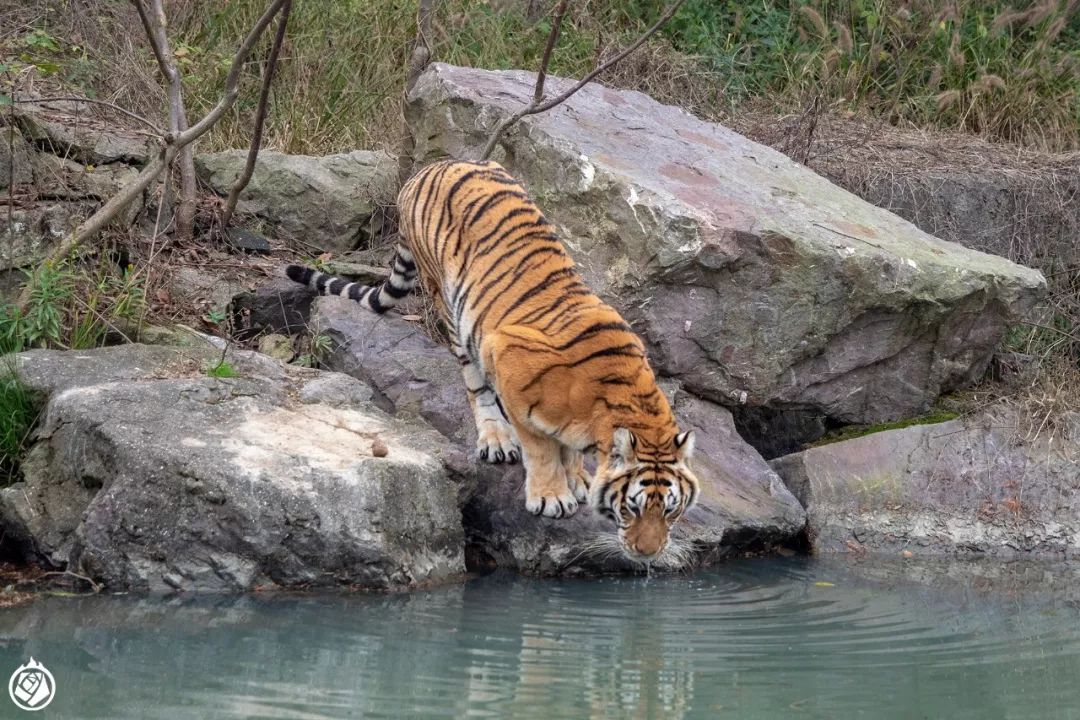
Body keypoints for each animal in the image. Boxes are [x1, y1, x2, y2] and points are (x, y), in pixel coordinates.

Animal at [287, 161, 699, 561]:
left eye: (671, 510)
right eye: (631, 507)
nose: (648, 553)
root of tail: (430, 168)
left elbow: (566, 446)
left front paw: (577, 476)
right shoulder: (508, 364)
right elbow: (541, 448)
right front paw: (552, 496)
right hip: (452, 309)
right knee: (476, 384)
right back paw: (496, 438)